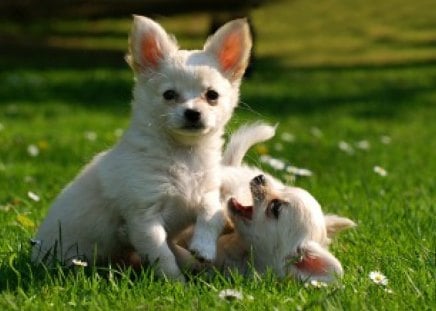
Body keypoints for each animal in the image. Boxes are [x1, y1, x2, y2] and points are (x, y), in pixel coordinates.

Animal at [31, 15, 252, 282]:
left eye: (212, 95)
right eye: (169, 95)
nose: (192, 113)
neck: (184, 155)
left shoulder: (207, 190)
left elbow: (212, 212)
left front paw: (203, 247)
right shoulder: (144, 218)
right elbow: (161, 252)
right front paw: (175, 283)